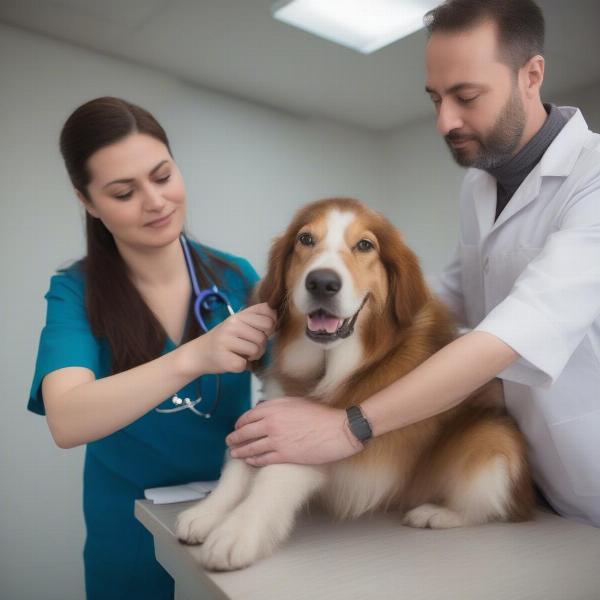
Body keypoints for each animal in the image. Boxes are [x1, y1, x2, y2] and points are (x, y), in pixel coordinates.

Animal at [175, 198, 536, 572]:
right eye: (305, 239)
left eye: (364, 245)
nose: (322, 282)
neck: (327, 364)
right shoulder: (272, 408)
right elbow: (239, 461)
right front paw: (209, 512)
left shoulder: (307, 435)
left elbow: (275, 475)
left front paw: (238, 531)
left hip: (493, 440)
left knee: (493, 508)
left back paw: (438, 513)